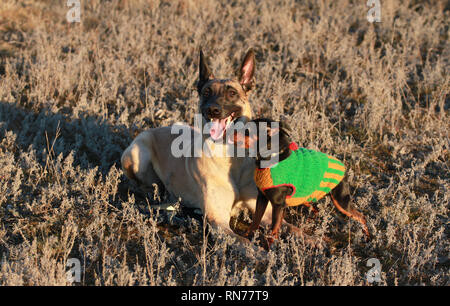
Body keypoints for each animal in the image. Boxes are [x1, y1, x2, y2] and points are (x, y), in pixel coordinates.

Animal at [232, 118, 370, 247]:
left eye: (247, 130)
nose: (230, 130)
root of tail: (344, 167)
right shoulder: (262, 198)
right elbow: (256, 221)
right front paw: (248, 236)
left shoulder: (278, 204)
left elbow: (274, 229)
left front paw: (270, 247)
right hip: (306, 197)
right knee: (316, 209)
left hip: (341, 201)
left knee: (361, 217)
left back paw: (367, 237)